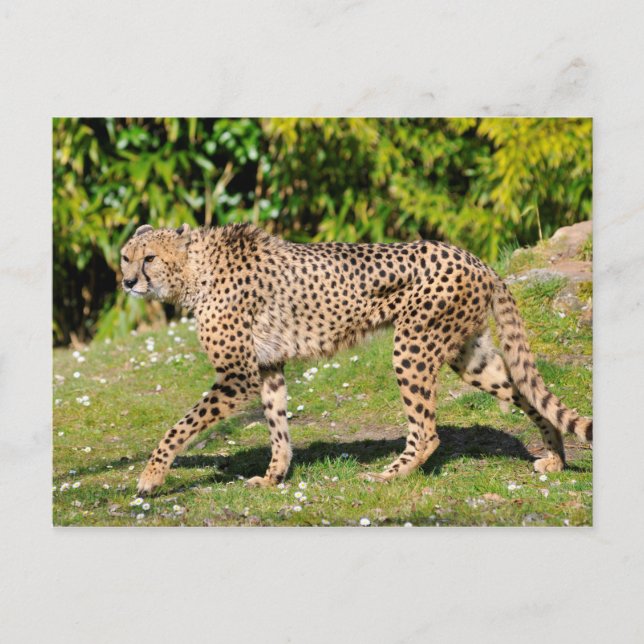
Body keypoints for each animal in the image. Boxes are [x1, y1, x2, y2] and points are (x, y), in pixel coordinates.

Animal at [120, 222, 592, 495]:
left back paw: (389, 476)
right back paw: (555, 458)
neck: (196, 270)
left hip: (412, 345)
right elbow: (277, 426)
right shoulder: (267, 368)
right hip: (469, 354)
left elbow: (180, 426)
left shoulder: (238, 375)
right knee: (526, 392)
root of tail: (472, 256)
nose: (126, 282)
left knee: (427, 430)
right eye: (126, 257)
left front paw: (150, 476)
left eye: (149, 258)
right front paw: (274, 477)